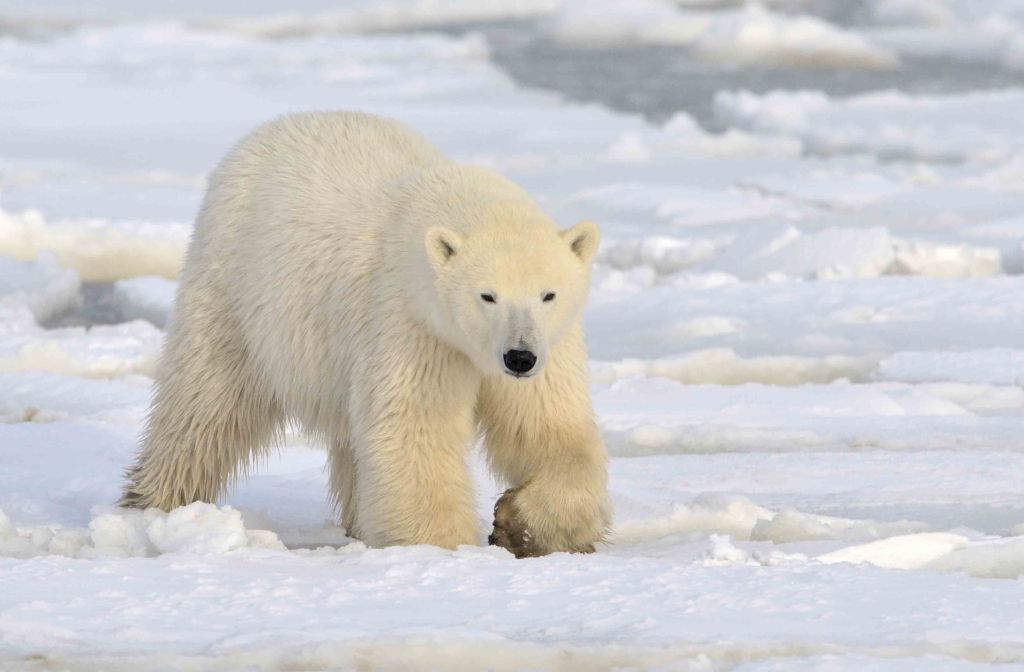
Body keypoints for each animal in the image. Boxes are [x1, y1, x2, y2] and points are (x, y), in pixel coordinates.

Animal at [121, 111, 610, 557]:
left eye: (548, 294)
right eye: (487, 295)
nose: (519, 357)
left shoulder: (551, 344)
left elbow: (550, 428)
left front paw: (519, 525)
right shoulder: (411, 322)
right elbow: (414, 432)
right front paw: (446, 550)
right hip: (234, 288)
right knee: (204, 405)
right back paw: (154, 504)